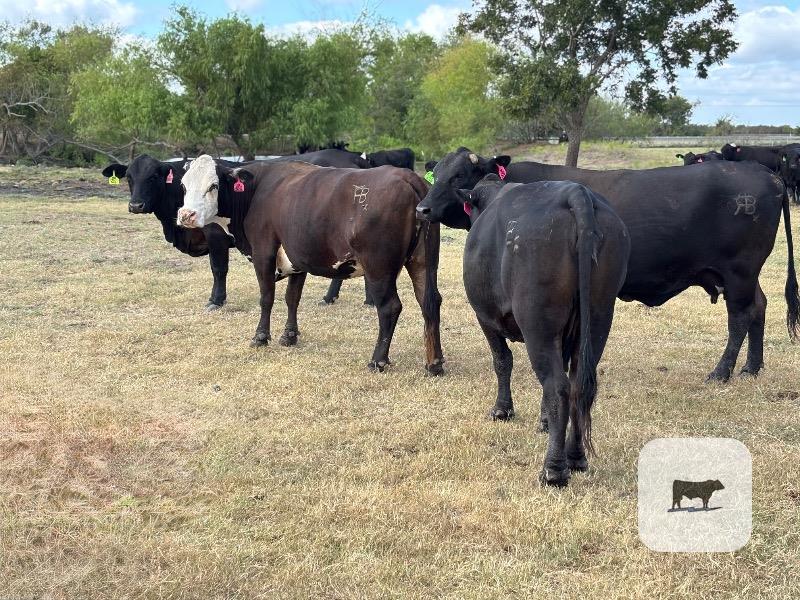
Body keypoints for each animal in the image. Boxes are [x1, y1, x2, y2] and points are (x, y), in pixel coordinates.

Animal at [175, 155, 445, 375]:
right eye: (184, 186)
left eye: (213, 185)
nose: (186, 215)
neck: (258, 191)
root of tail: (408, 177)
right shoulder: (297, 258)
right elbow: (292, 298)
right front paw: (289, 335)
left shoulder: (263, 252)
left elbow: (267, 297)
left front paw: (261, 337)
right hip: (423, 262)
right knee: (430, 301)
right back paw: (434, 363)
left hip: (378, 268)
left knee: (390, 307)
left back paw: (377, 360)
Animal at [418, 149, 800, 391]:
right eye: (436, 174)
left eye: (459, 175)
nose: (422, 209)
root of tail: (767, 174)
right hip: (743, 275)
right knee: (759, 308)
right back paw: (751, 367)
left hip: (739, 272)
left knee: (740, 318)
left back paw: (721, 373)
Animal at [430, 175, 629, 486]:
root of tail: (575, 193)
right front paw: (544, 421)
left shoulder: (485, 317)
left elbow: (502, 361)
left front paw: (503, 409)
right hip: (598, 317)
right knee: (577, 385)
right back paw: (576, 457)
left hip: (538, 323)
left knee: (558, 387)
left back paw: (554, 470)